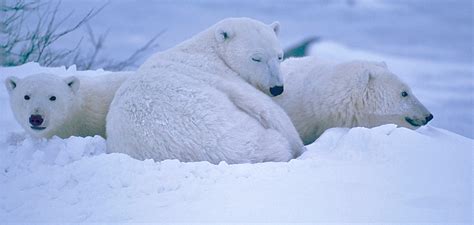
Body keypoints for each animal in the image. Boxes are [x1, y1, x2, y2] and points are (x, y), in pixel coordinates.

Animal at [106, 17, 306, 163]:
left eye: (279, 56)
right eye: (256, 58)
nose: (277, 88)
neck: (209, 47)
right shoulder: (218, 72)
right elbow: (266, 108)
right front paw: (299, 145)